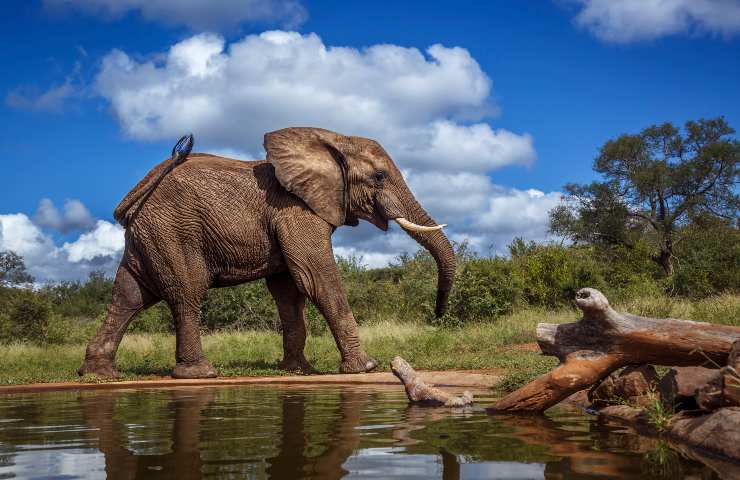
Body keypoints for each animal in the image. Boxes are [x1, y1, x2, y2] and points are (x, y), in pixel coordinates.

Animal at [78, 126, 454, 378]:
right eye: (378, 177)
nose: (437, 316)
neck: (331, 140)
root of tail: (138, 192)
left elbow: (288, 290)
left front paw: (299, 370)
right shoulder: (295, 210)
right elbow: (316, 277)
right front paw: (364, 367)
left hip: (150, 235)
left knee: (129, 295)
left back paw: (98, 374)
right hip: (174, 230)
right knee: (186, 292)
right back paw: (200, 373)